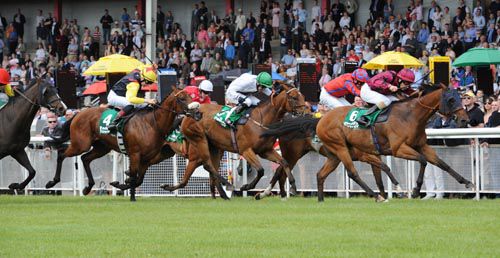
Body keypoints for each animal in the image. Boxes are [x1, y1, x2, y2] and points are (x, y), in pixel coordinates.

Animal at [44, 87, 228, 201]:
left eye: (192, 96)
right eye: (182, 98)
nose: (198, 114)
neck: (153, 123)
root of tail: (78, 113)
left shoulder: (147, 158)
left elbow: (138, 179)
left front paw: (121, 184)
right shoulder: (135, 154)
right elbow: (135, 176)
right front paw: (131, 195)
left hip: (102, 147)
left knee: (85, 159)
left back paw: (88, 187)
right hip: (80, 143)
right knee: (62, 154)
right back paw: (52, 182)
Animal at [160, 81, 308, 195]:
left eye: (302, 95)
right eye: (294, 97)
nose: (306, 112)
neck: (262, 119)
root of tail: (187, 115)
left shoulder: (265, 151)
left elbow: (284, 162)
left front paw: (293, 186)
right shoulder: (246, 150)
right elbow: (260, 170)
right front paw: (246, 186)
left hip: (215, 147)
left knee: (209, 168)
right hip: (199, 140)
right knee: (206, 165)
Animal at [260, 84, 474, 202]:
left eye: (461, 97)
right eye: (451, 99)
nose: (465, 120)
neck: (410, 115)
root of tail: (319, 121)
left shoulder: (421, 145)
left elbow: (441, 163)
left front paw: (467, 182)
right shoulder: (398, 149)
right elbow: (421, 161)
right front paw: (414, 190)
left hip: (334, 155)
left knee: (319, 174)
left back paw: (319, 199)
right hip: (319, 150)